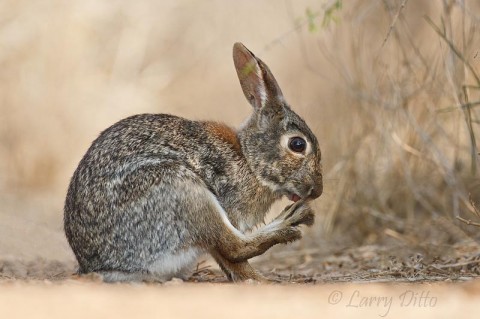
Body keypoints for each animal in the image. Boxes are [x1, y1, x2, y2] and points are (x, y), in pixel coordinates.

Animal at [62, 42, 320, 282]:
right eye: (298, 144)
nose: (317, 191)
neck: (249, 159)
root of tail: (104, 266)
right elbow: (232, 255)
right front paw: (255, 279)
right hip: (183, 190)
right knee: (235, 245)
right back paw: (291, 223)